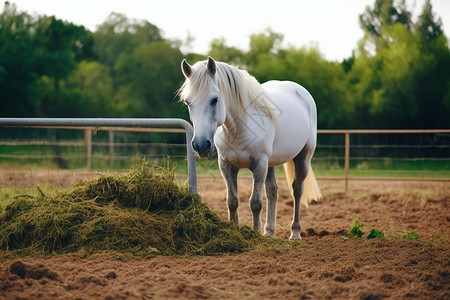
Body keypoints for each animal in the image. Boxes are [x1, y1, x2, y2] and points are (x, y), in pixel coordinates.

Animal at [178, 56, 322, 239]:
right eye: (188, 102)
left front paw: (255, 233)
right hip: (271, 163)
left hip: (303, 157)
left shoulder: (259, 165)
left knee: (297, 190)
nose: (201, 145)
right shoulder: (226, 165)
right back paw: (269, 232)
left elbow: (255, 203)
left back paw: (295, 233)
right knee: (272, 190)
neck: (238, 130)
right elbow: (232, 201)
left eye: (215, 99)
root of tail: (302, 93)